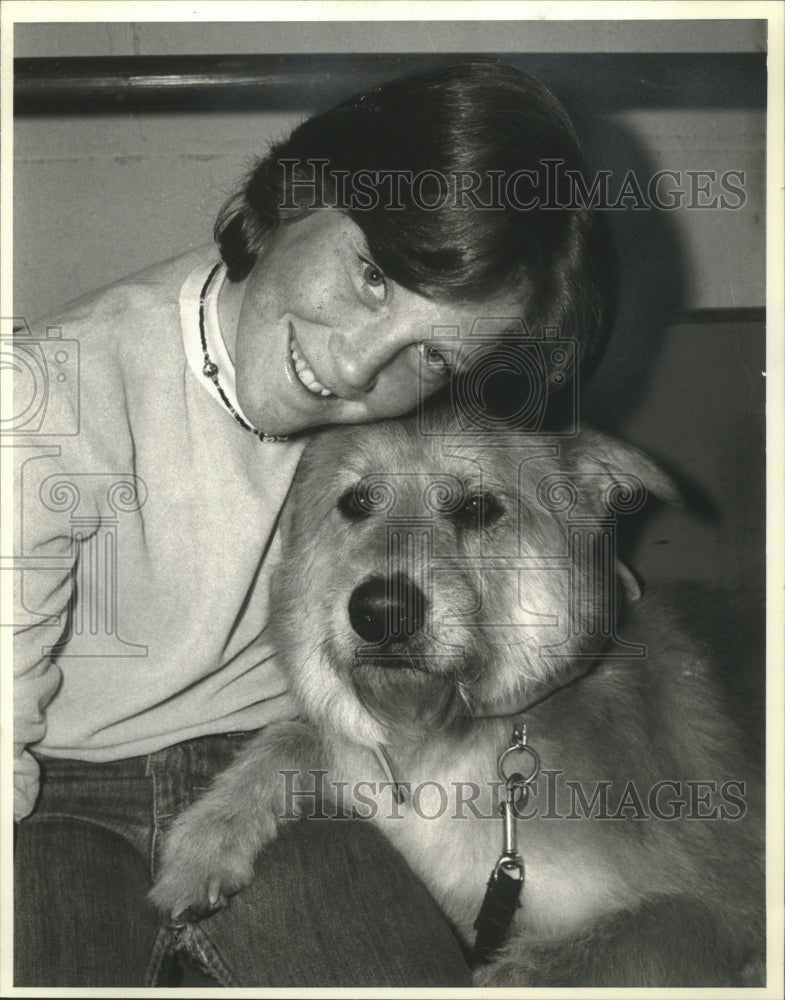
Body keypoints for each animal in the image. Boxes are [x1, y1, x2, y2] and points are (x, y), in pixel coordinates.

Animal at [150, 408, 764, 984]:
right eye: (356, 502)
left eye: (477, 508)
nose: (381, 612)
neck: (447, 742)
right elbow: (294, 735)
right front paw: (205, 838)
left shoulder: (713, 911)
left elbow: (522, 972)